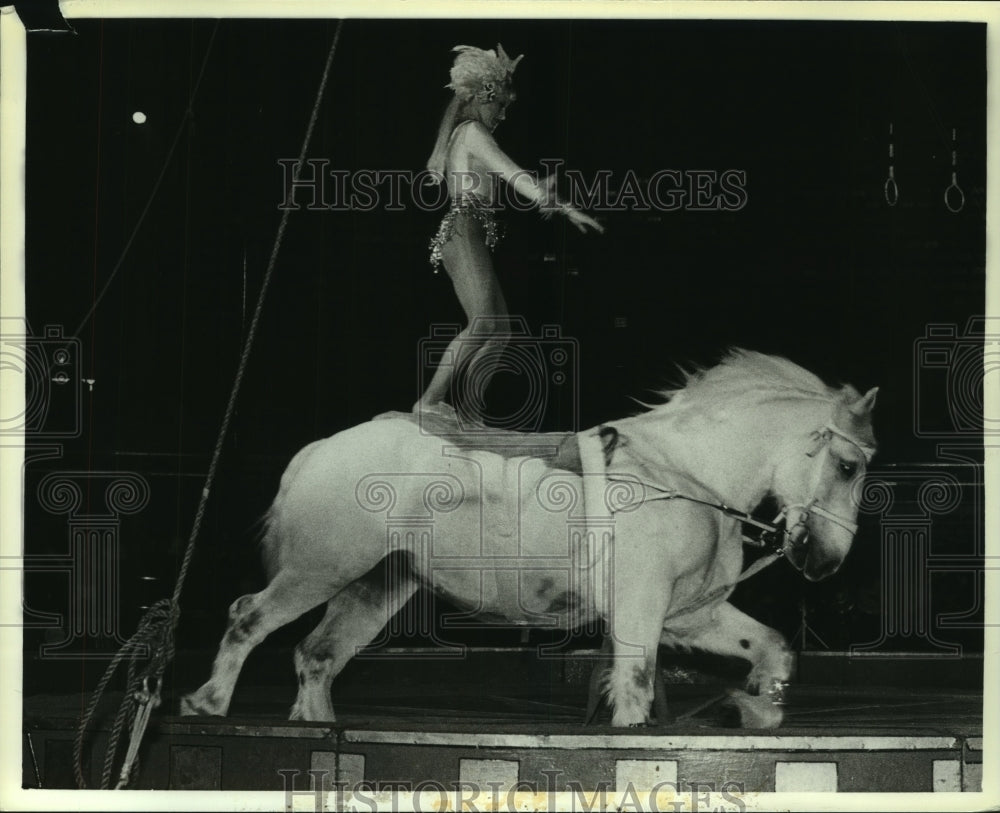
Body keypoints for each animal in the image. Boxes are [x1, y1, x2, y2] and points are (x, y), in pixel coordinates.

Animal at [180, 348, 876, 724]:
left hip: (377, 584)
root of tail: (319, 450)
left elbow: (774, 650)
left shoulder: (688, 615)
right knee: (248, 618)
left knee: (318, 656)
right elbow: (635, 688)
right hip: (320, 569)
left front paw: (757, 707)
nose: (828, 561)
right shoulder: (641, 609)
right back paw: (207, 704)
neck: (682, 474)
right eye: (849, 466)